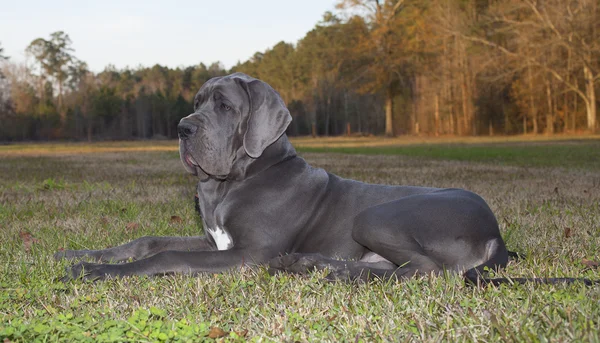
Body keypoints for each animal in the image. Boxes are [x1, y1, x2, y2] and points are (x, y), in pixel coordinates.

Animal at [55, 72, 510, 282]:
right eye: (197, 103)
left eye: (224, 106)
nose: (183, 128)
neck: (234, 182)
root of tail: (495, 234)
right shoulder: (215, 242)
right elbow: (147, 241)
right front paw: (78, 254)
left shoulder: (250, 254)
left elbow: (165, 256)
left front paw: (94, 270)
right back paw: (312, 263)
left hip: (376, 216)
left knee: (426, 270)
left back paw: (331, 270)